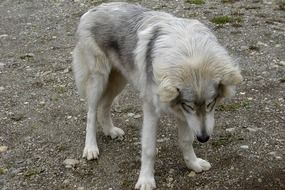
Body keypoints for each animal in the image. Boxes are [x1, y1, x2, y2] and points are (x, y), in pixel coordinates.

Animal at [71, 2, 242, 189]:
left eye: (211, 104)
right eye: (189, 106)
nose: (203, 138)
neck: (189, 50)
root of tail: (94, 9)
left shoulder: (182, 114)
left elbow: (186, 140)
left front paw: (193, 164)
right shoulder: (154, 109)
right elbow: (149, 149)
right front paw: (146, 180)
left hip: (119, 80)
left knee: (104, 106)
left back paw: (110, 130)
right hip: (98, 79)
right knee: (91, 112)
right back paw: (90, 148)